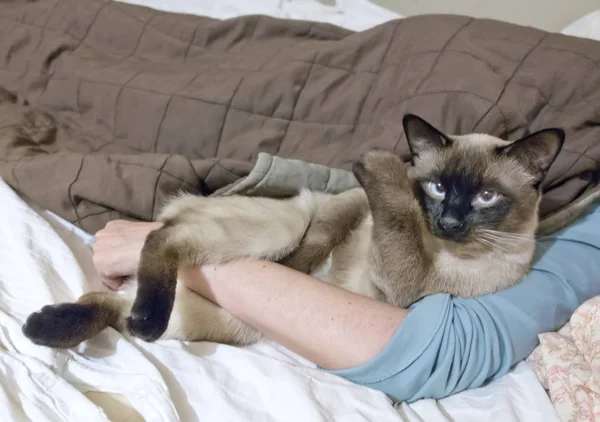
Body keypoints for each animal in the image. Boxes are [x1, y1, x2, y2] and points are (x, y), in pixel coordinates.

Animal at [22, 113, 564, 348]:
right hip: (276, 230)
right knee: (163, 240)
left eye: (486, 197)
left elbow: (397, 226)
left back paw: (52, 327)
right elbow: (335, 232)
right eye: (434, 187)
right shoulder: (347, 205)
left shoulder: (407, 291)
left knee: (118, 301)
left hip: (225, 322)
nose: (448, 222)